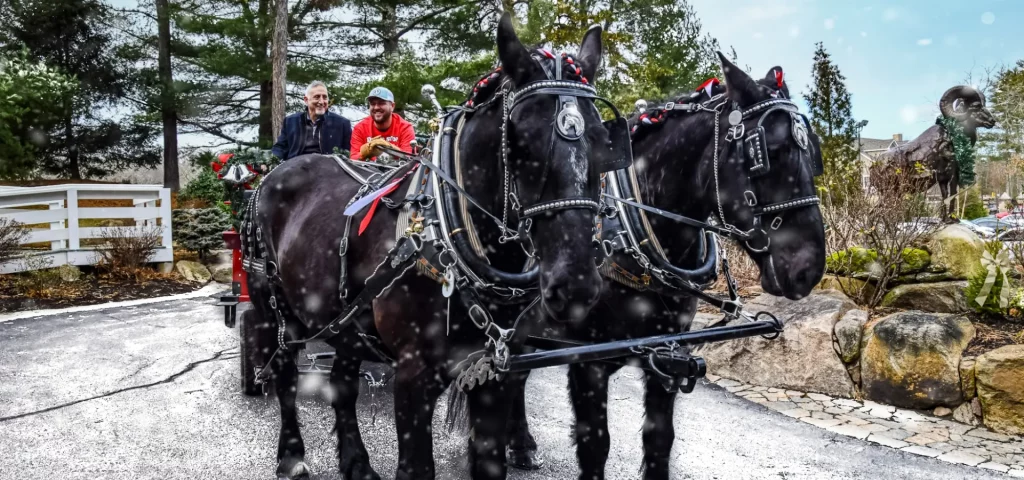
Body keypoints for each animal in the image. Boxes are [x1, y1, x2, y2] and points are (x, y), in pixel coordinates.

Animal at [242, 13, 614, 478]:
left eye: (603, 142)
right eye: (521, 144)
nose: (577, 284)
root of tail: (273, 173)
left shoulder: (496, 369)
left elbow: (490, 458)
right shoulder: (414, 375)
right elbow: (417, 466)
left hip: (342, 319)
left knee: (343, 384)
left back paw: (356, 461)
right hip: (275, 307)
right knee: (286, 375)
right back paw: (291, 455)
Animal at [505, 53, 831, 478]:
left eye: (813, 155)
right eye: (767, 152)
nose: (809, 268)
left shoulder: (669, 356)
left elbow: (659, 440)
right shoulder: (586, 363)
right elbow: (596, 445)